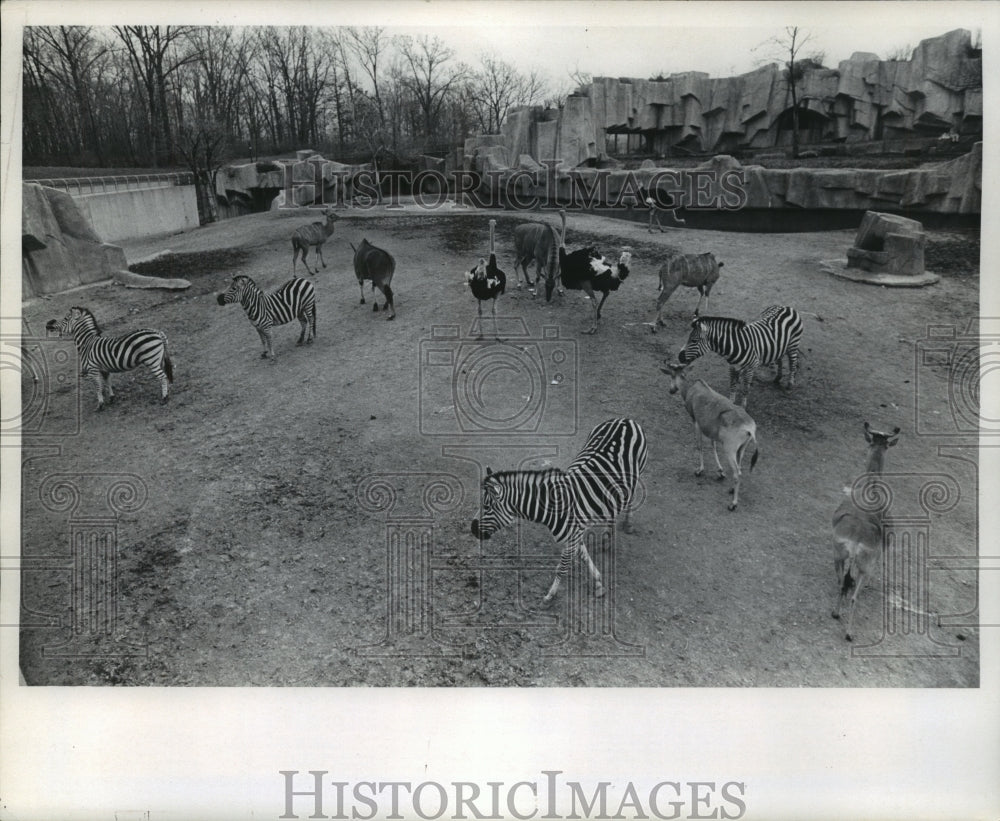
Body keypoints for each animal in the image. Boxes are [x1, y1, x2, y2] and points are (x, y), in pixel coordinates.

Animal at [46, 304, 174, 410]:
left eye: (65, 319)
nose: (49, 324)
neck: (87, 343)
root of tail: (157, 333)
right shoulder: (104, 370)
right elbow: (107, 383)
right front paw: (112, 398)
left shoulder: (93, 370)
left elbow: (98, 387)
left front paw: (100, 405)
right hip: (159, 359)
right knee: (165, 375)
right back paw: (168, 392)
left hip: (151, 360)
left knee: (162, 377)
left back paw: (164, 398)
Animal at [470, 416, 648, 604]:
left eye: (487, 507)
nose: (472, 529)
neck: (556, 507)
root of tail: (624, 419)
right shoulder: (575, 534)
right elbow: (583, 556)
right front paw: (598, 581)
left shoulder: (573, 537)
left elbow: (562, 567)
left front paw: (551, 594)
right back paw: (607, 538)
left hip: (638, 472)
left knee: (631, 497)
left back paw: (628, 524)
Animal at [664, 362, 756, 510]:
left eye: (672, 375)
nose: (671, 390)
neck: (694, 389)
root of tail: (749, 428)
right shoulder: (711, 430)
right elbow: (713, 445)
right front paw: (720, 472)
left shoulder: (696, 422)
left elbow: (700, 445)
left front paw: (699, 470)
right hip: (741, 449)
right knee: (740, 469)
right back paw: (732, 490)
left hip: (730, 449)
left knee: (737, 473)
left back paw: (733, 504)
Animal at [672, 304, 804, 406]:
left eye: (694, 341)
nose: (679, 357)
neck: (735, 346)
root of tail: (787, 307)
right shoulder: (732, 366)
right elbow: (732, 386)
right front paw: (731, 403)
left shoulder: (751, 367)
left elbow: (745, 389)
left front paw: (743, 406)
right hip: (780, 346)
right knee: (780, 359)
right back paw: (777, 378)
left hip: (793, 344)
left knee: (793, 363)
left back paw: (790, 384)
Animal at [832, 422, 904, 640]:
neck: (872, 483)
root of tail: (856, 540)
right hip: (864, 568)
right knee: (854, 596)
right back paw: (849, 633)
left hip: (839, 556)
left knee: (842, 584)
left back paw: (836, 613)